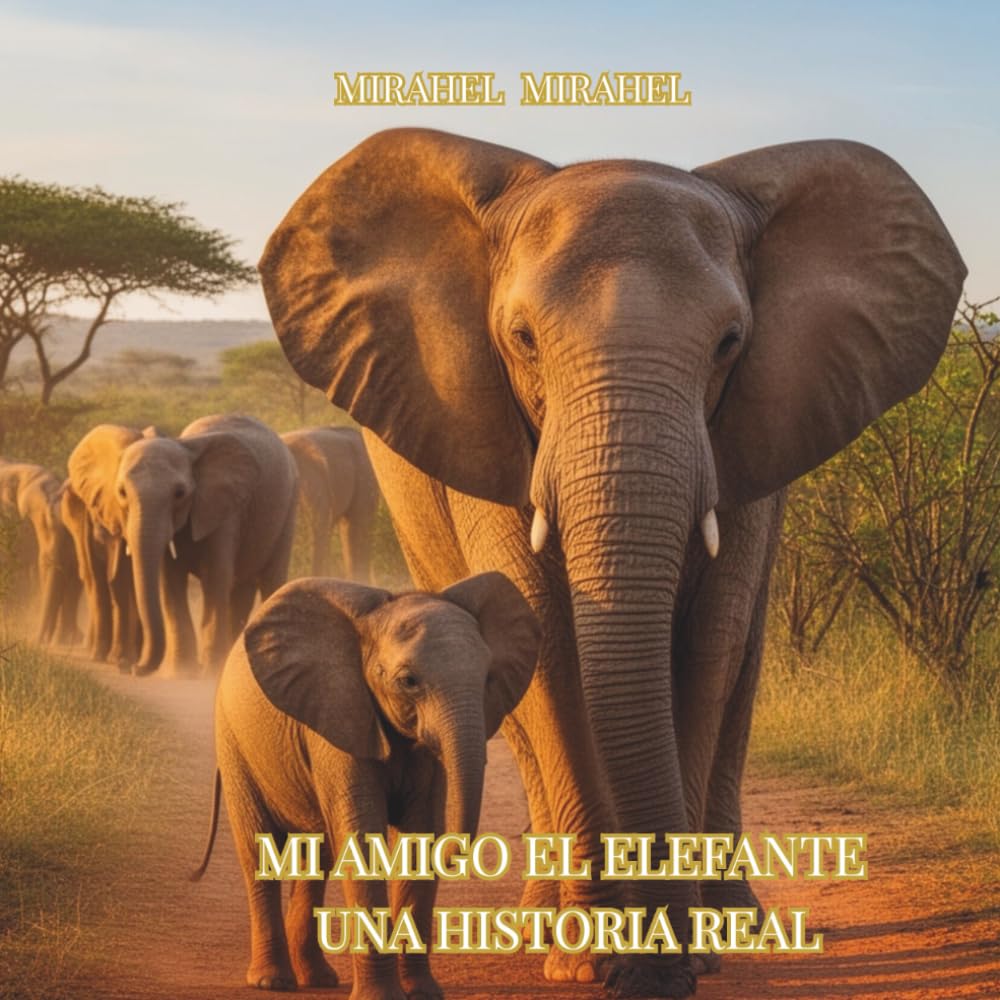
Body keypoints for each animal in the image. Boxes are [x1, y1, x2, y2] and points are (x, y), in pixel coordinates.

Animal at [65, 425, 146, 668]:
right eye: (122, 493)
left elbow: (123, 578)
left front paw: (123, 660)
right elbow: (108, 578)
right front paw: (108, 658)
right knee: (93, 579)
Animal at [77, 413, 299, 674]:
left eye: (179, 494)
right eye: (121, 492)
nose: (131, 668)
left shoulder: (222, 509)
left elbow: (215, 577)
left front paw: (208, 672)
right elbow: (170, 581)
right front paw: (181, 672)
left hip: (289, 505)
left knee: (270, 579)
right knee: (241, 589)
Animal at [191, 571, 540, 997]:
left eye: (489, 678)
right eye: (408, 681)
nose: (454, 854)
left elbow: (418, 834)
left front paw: (422, 992)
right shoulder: (338, 718)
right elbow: (361, 836)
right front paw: (382, 996)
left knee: (317, 854)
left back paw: (318, 979)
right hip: (233, 741)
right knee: (259, 850)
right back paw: (272, 981)